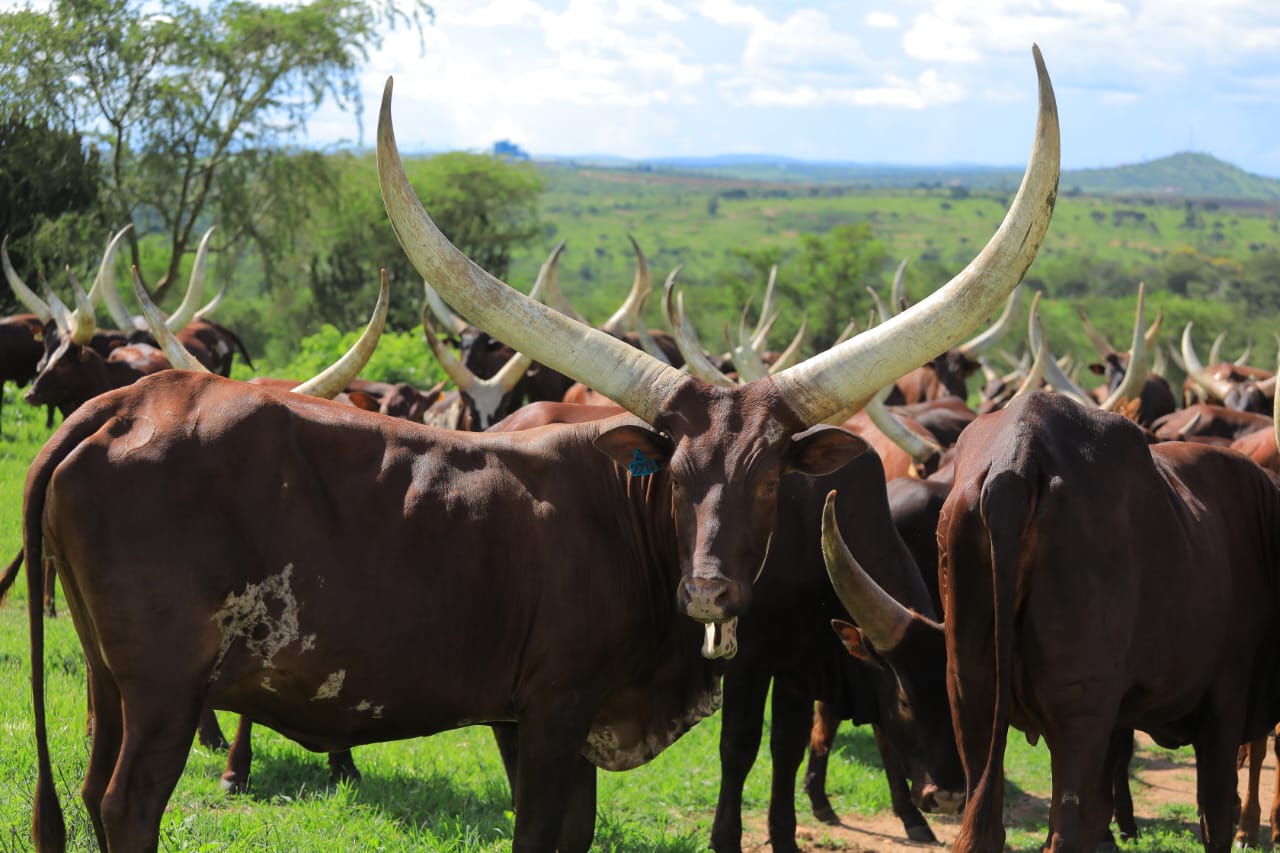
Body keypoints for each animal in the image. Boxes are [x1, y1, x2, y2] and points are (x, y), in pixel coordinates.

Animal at [21, 52, 1056, 852]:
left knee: (90, 793)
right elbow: (540, 833)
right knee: (126, 806)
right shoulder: (551, 711)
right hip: (164, 688)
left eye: (770, 481)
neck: (629, 527)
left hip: (111, 679)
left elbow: (577, 832)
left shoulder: (550, 720)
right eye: (676, 474)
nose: (710, 590)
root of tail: (118, 405)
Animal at [935, 391, 1280, 853]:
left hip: (970, 691)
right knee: (1066, 829)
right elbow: (1216, 815)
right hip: (1080, 703)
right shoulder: (1226, 702)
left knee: (985, 823)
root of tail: (1019, 453)